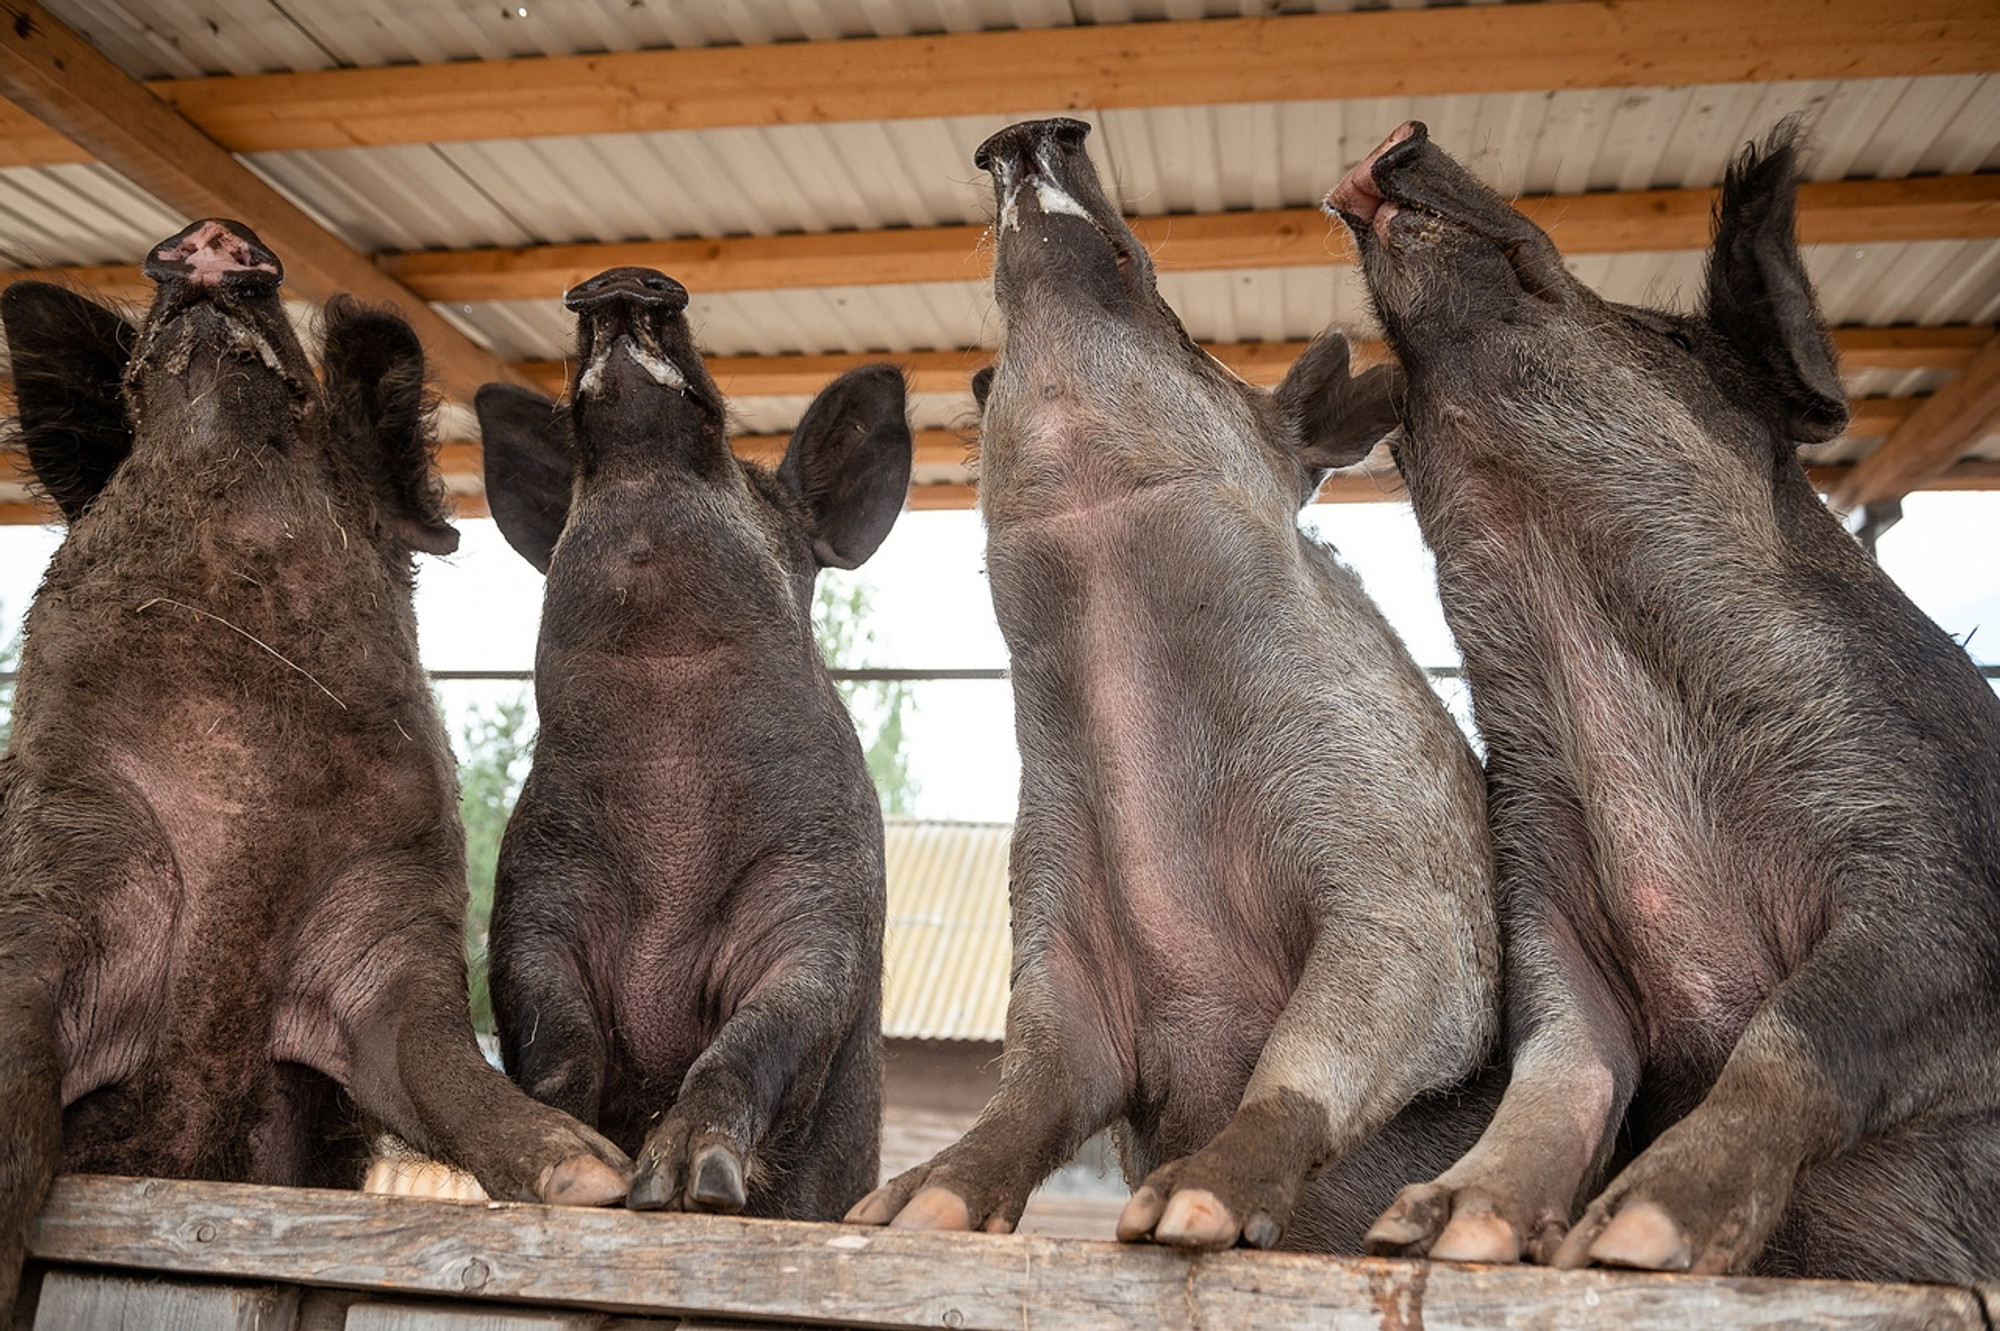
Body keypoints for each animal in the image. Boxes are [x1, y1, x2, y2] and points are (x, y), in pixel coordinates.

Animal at [0, 217, 632, 1303]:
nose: (214, 231)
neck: (239, 786)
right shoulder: (54, 856)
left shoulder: (392, 921)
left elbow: (437, 1060)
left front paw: (597, 1177)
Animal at [472, 259, 912, 1215]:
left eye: (756, 492)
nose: (618, 280)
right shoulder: (536, 888)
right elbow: (552, 1035)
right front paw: (587, 1173)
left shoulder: (826, 888)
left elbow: (764, 1028)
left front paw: (685, 1186)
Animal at [840, 119, 1504, 1247]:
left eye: (1187, 336)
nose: (1030, 128)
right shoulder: (1048, 896)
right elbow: (1038, 1076)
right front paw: (900, 1211)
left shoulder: (1412, 867)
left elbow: (1322, 1035)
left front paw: (1185, 1210)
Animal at [1336, 121, 2000, 1279]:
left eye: (1665, 337)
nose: (1399, 135)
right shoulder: (1541, 875)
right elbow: (1560, 1059)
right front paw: (1435, 1230)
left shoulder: (1939, 867)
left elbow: (1797, 1031)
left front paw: (1637, 1237)